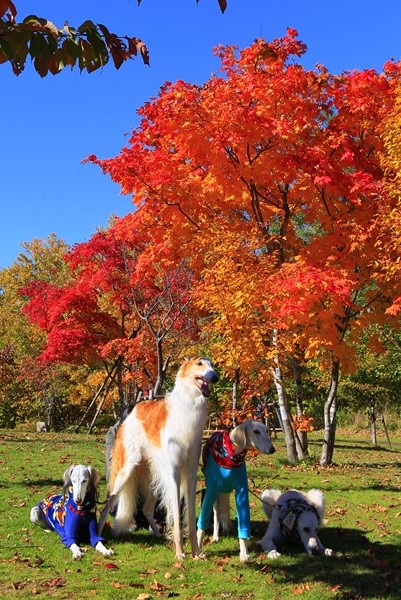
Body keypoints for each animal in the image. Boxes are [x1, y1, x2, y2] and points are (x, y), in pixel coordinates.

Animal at [99, 354, 219, 560]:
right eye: (199, 364)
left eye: (212, 365)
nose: (215, 377)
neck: (188, 406)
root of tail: (134, 409)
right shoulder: (174, 472)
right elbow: (177, 518)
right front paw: (180, 553)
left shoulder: (191, 473)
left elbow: (188, 518)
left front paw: (196, 552)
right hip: (126, 470)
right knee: (107, 505)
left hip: (153, 474)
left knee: (146, 509)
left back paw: (158, 534)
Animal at [197, 420, 276, 560]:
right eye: (256, 431)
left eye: (267, 430)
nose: (272, 449)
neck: (231, 456)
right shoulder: (211, 490)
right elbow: (202, 523)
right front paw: (198, 550)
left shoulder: (242, 492)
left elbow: (243, 524)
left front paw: (244, 553)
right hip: (215, 495)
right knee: (216, 515)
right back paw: (216, 536)